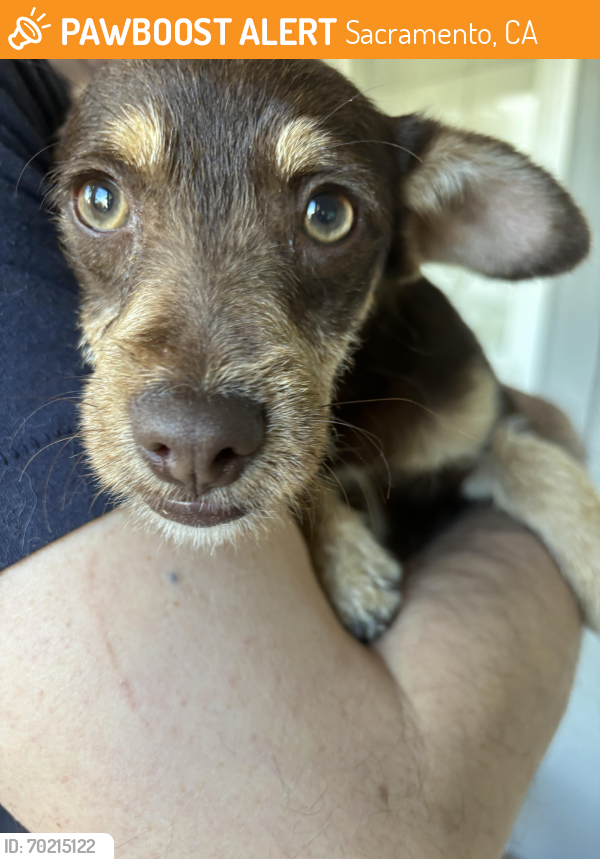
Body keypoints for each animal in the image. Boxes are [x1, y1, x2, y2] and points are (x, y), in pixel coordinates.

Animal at [52, 58, 600, 640]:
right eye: (99, 201)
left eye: (329, 214)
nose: (193, 445)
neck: (358, 392)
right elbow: (307, 479)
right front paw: (351, 565)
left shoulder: (490, 425)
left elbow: (552, 470)